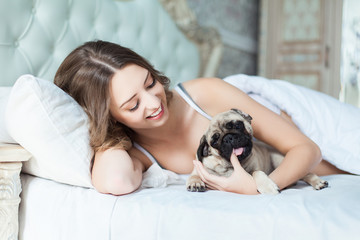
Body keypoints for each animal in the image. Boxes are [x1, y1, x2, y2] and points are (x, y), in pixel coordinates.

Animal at [187, 108, 330, 193]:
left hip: (279, 160)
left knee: (306, 174)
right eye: (215, 141)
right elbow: (194, 175)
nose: (228, 138)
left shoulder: (255, 170)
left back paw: (318, 182)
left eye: (237, 125)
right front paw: (195, 182)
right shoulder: (199, 169)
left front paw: (267, 186)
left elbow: (257, 173)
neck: (229, 165)